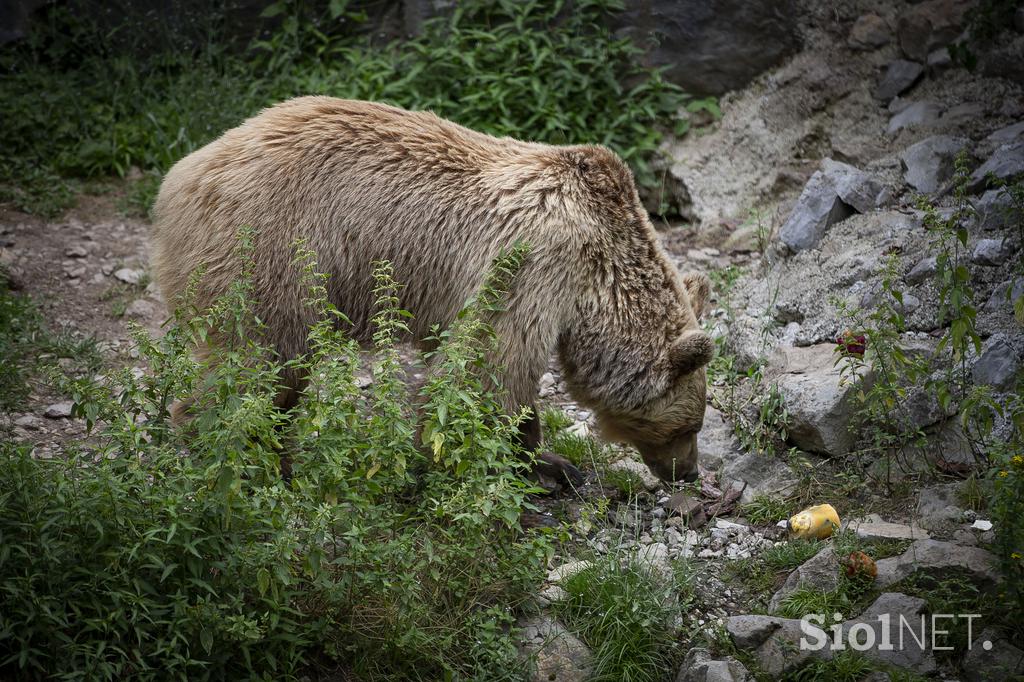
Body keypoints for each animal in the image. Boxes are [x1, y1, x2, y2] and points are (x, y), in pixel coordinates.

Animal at [151, 95, 712, 483]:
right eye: (689, 427)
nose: (688, 472)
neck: (600, 266)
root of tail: (180, 176)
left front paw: (544, 459)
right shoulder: (537, 262)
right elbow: (492, 363)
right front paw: (511, 464)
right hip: (276, 250)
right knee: (261, 359)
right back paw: (247, 456)